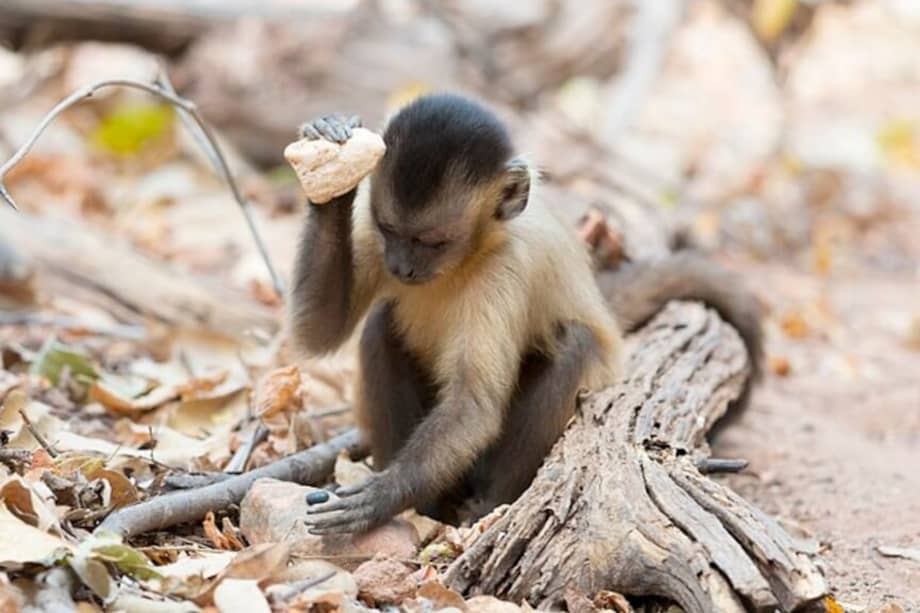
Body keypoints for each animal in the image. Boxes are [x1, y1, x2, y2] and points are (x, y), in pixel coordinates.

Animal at [289, 93, 763, 534]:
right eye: (391, 231)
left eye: (433, 242)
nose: (401, 268)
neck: (471, 255)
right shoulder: (374, 240)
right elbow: (319, 331)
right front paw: (331, 166)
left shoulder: (505, 271)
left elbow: (474, 407)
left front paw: (381, 496)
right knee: (381, 326)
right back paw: (429, 508)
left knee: (574, 343)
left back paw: (488, 505)